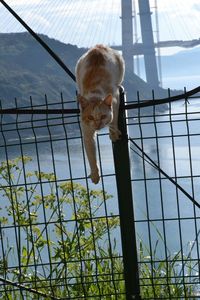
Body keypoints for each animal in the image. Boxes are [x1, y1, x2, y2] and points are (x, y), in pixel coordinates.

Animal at [75, 43, 124, 182]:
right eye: (90, 117)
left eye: (103, 116)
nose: (97, 125)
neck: (95, 95)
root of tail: (98, 46)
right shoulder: (87, 132)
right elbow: (91, 155)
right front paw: (95, 175)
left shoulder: (115, 98)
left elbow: (114, 119)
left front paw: (114, 133)